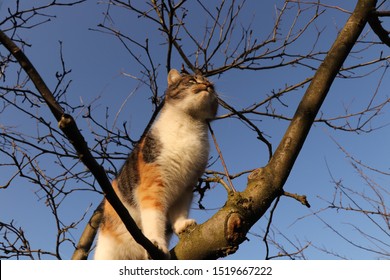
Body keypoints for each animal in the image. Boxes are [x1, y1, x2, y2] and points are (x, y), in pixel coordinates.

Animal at [93, 68, 218, 260]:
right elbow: (154, 216)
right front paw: (157, 243)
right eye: (191, 81)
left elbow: (180, 210)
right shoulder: (153, 184)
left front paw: (182, 225)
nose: (207, 85)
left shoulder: (186, 187)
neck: (189, 125)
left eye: (211, 85)